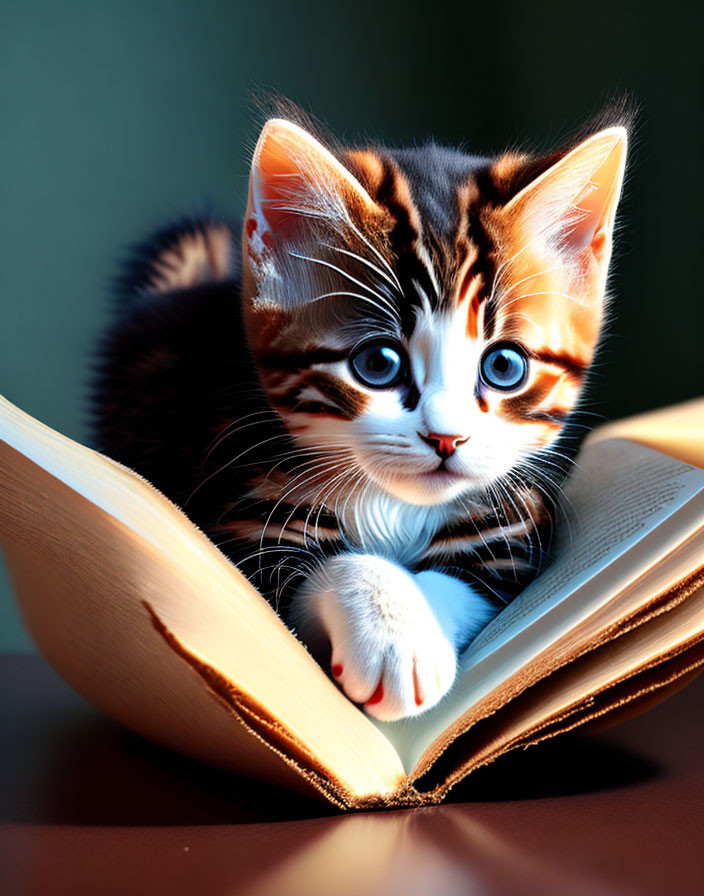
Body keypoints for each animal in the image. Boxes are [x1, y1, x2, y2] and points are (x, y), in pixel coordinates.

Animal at [93, 107, 628, 720]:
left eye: (504, 366)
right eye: (377, 363)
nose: (446, 439)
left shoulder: (513, 536)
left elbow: (467, 582)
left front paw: (416, 639)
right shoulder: (238, 511)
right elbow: (316, 569)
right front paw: (392, 635)